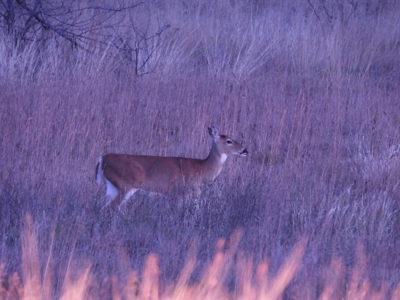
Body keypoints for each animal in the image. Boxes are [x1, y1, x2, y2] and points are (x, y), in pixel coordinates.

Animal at [96, 126, 247, 213]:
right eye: (228, 141)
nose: (245, 150)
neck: (202, 169)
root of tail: (102, 159)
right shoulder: (179, 192)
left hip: (112, 186)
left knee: (103, 207)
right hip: (125, 184)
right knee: (113, 206)